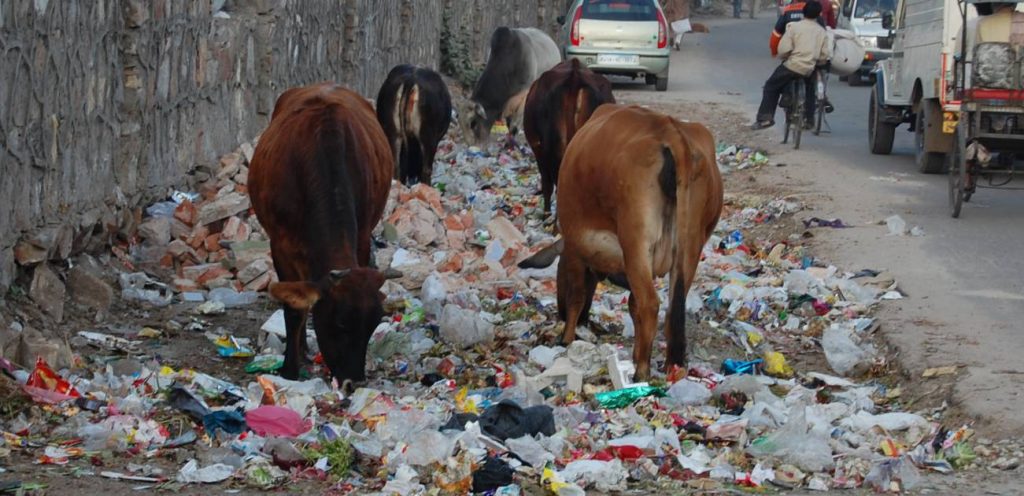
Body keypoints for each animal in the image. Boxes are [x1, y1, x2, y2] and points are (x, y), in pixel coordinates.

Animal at [247, 83, 395, 385]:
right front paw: (290, 370)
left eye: (374, 324)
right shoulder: (280, 246)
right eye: (340, 322)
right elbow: (294, 308)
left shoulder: (362, 237)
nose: (353, 381)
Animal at [516, 104, 724, 381]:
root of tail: (671, 132)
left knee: (650, 304)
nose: (560, 313)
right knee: (671, 310)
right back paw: (671, 366)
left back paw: (642, 372)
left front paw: (567, 339)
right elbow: (633, 306)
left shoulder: (574, 249)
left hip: (636, 241)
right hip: (690, 247)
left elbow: (577, 295)